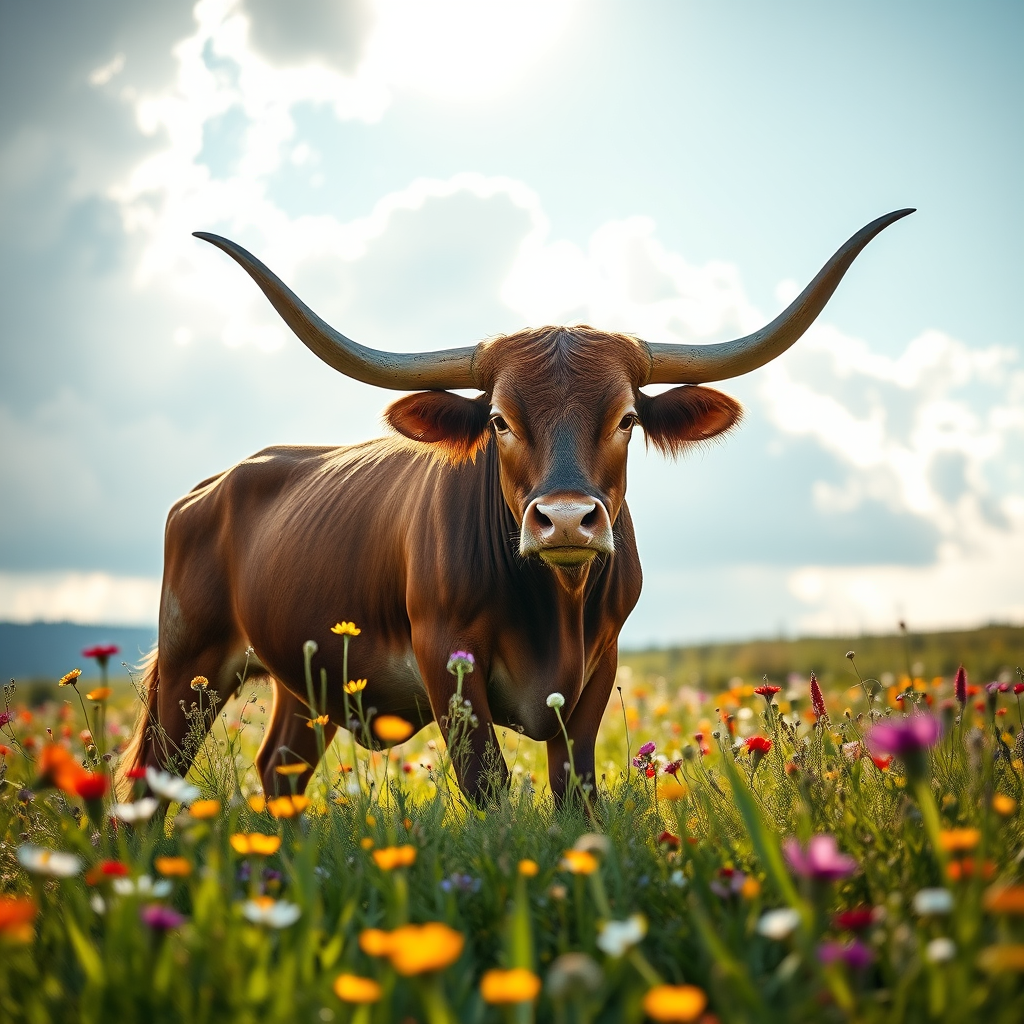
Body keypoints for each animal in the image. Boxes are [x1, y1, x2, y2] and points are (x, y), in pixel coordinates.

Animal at [121, 209, 912, 804]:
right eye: (500, 419)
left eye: (627, 417)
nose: (564, 519)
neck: (553, 609)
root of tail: (213, 485)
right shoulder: (446, 663)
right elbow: (491, 786)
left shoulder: (597, 672)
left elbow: (575, 789)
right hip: (190, 667)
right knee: (151, 776)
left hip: (302, 680)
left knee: (278, 771)